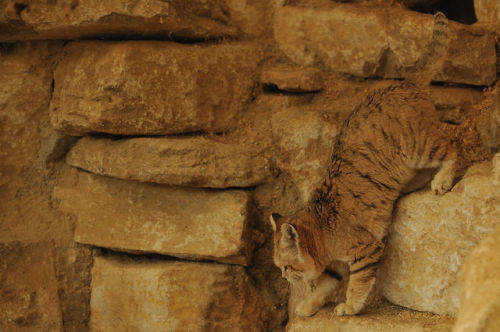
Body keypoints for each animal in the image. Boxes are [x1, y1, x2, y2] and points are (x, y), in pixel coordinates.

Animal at [272, 11, 456, 316]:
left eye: (287, 266)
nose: (283, 277)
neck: (323, 229)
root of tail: (405, 82)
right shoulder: (334, 265)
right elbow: (324, 285)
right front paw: (309, 305)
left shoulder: (366, 250)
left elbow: (357, 283)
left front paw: (349, 306)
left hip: (418, 147)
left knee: (454, 144)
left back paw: (442, 181)